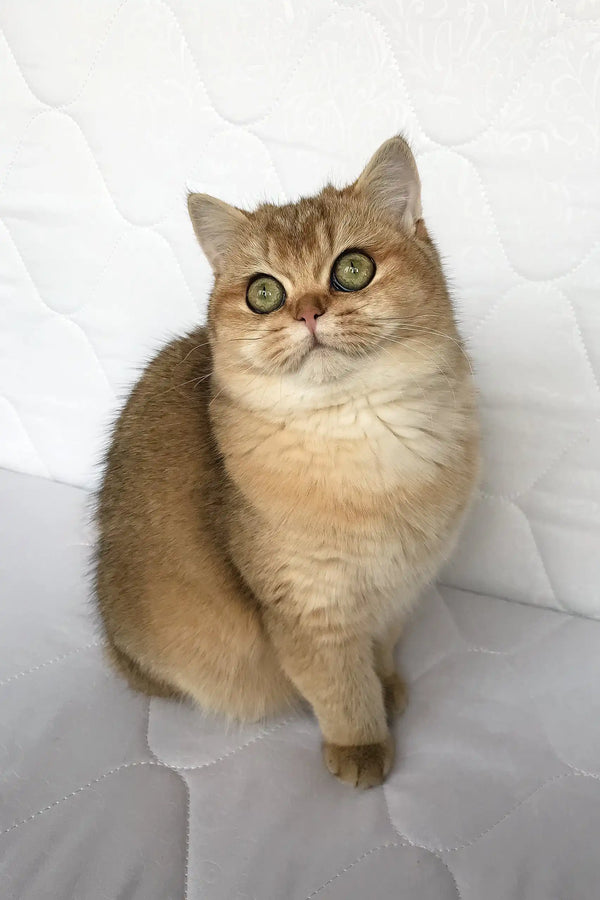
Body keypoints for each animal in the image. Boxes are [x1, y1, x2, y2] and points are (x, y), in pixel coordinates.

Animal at [95, 135, 478, 788]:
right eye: (264, 293)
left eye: (352, 269)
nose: (308, 312)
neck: (355, 432)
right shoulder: (306, 610)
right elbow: (339, 688)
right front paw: (362, 746)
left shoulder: (398, 587)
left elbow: (378, 650)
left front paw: (387, 687)